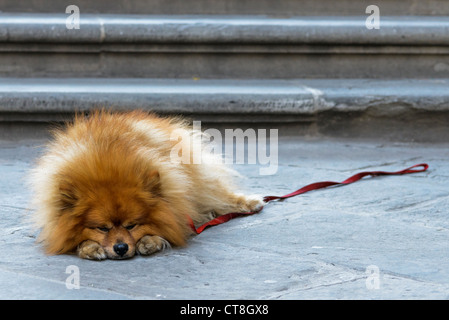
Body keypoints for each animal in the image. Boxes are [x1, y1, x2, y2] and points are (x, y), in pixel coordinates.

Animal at [29, 110, 262, 260]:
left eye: (132, 225)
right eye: (102, 228)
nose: (121, 247)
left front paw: (151, 241)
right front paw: (88, 247)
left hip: (200, 180)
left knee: (219, 196)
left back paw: (251, 203)